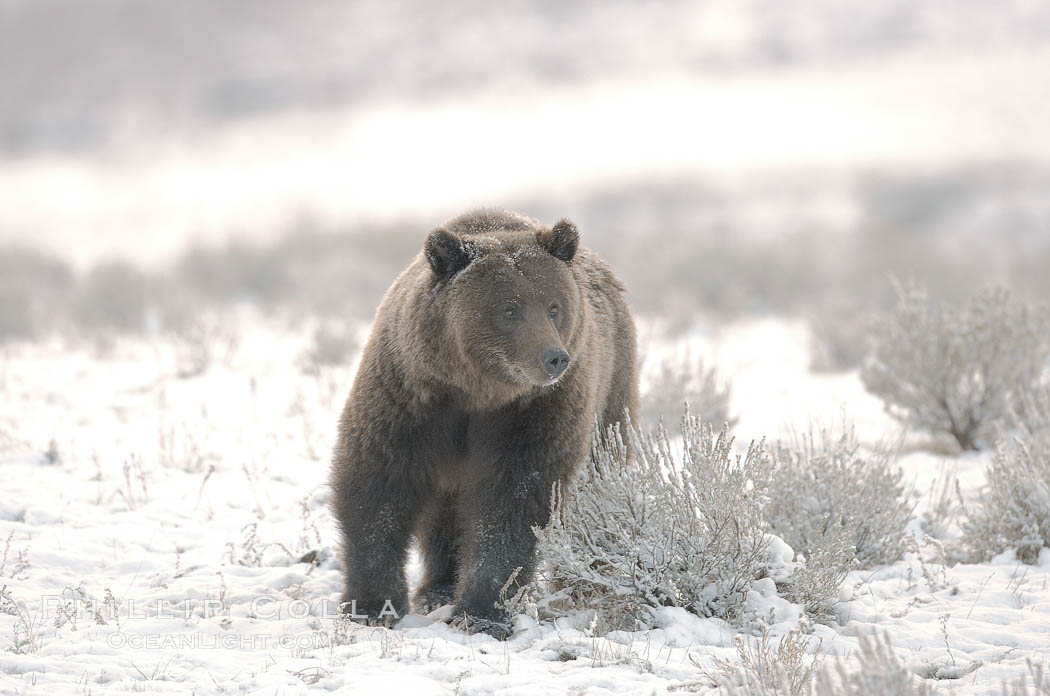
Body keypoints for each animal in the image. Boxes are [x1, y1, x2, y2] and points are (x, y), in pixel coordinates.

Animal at [329, 208, 638, 638]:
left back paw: (585, 577)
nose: (553, 357)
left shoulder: (533, 412)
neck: (479, 391)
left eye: (553, 306)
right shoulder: (411, 395)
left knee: (596, 485)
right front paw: (373, 605)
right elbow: (379, 485)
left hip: (610, 396)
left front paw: (482, 612)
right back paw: (439, 588)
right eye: (510, 308)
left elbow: (514, 499)